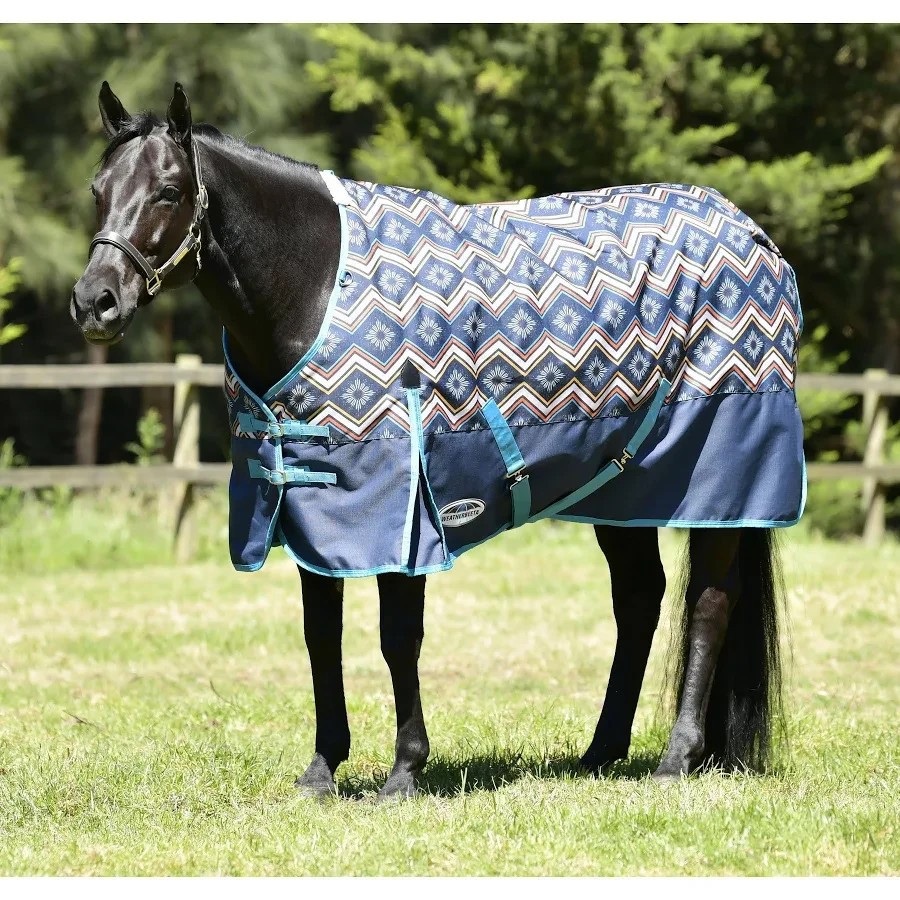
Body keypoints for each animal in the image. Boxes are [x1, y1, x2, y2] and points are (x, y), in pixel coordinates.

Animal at [71, 82, 794, 800]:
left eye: (168, 190)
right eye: (98, 189)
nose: (95, 302)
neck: (314, 283)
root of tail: (754, 236)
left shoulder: (401, 510)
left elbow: (398, 637)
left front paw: (404, 770)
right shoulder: (312, 506)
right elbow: (320, 636)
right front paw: (322, 769)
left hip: (716, 481)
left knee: (709, 601)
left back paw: (677, 757)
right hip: (622, 488)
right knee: (640, 598)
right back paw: (600, 752)